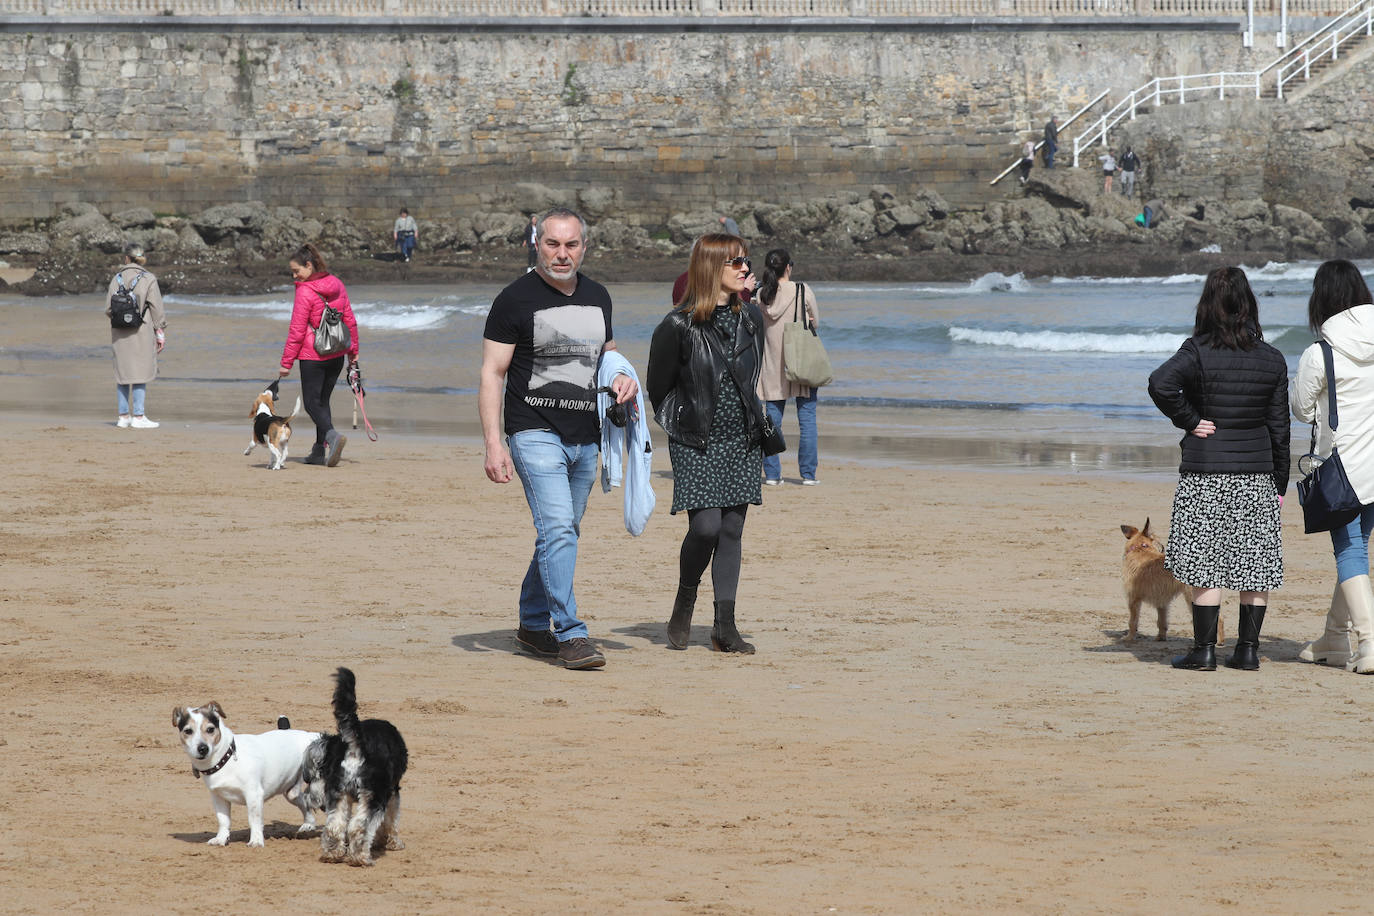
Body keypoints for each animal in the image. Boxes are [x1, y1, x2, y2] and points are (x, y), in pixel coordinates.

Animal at [300, 667, 406, 867]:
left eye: (317, 773)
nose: (308, 797)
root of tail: (354, 747)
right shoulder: (392, 793)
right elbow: (392, 820)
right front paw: (392, 842)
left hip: (338, 794)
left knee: (335, 826)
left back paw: (332, 854)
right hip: (375, 796)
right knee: (359, 827)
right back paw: (360, 858)